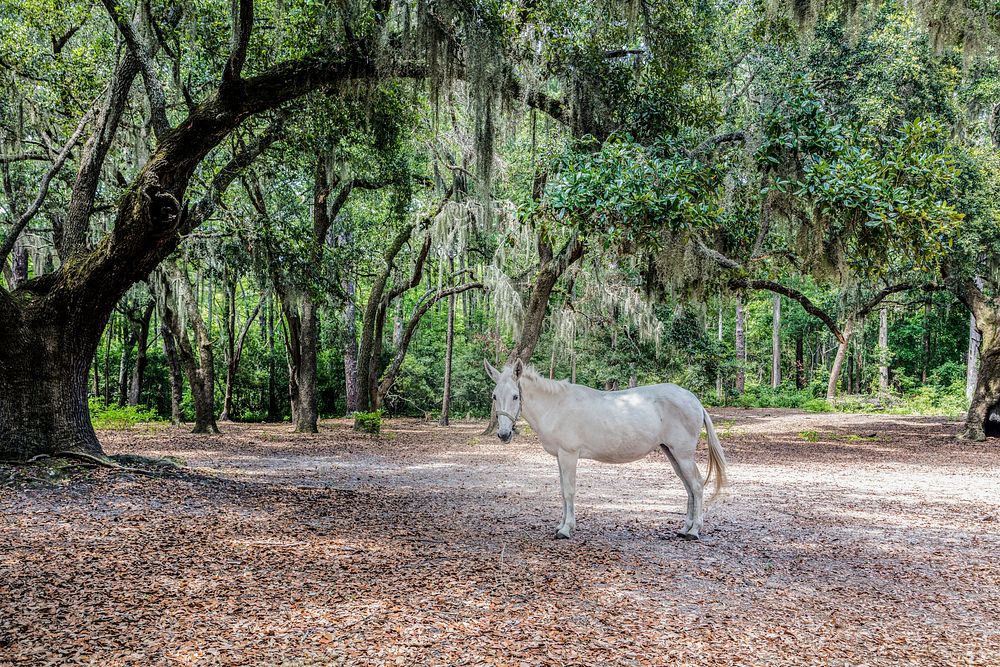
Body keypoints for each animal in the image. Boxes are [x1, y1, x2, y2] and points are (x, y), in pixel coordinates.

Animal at [484, 358, 728, 540]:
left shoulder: (569, 455)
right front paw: (560, 525)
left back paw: (694, 531)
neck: (556, 406)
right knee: (689, 488)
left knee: (696, 486)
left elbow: (569, 490)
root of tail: (694, 400)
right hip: (672, 454)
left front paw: (566, 529)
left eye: (515, 396)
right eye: (494, 396)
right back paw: (684, 528)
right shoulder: (560, 458)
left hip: (683, 455)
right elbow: (562, 491)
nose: (504, 434)